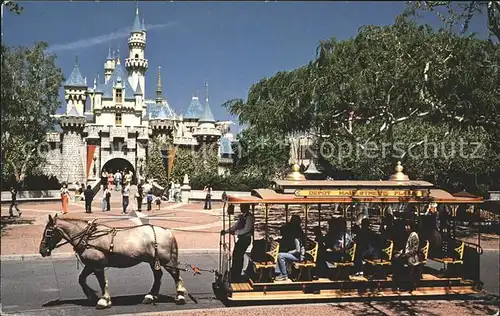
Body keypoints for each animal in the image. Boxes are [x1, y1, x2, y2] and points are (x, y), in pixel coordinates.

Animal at [39, 215, 188, 308]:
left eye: (48, 232)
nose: (42, 250)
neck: (88, 237)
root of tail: (167, 231)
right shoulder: (90, 265)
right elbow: (81, 279)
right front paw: (91, 295)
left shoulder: (97, 265)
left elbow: (102, 282)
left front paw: (103, 301)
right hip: (153, 261)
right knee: (158, 276)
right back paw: (150, 296)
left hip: (166, 260)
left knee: (176, 275)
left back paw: (180, 297)